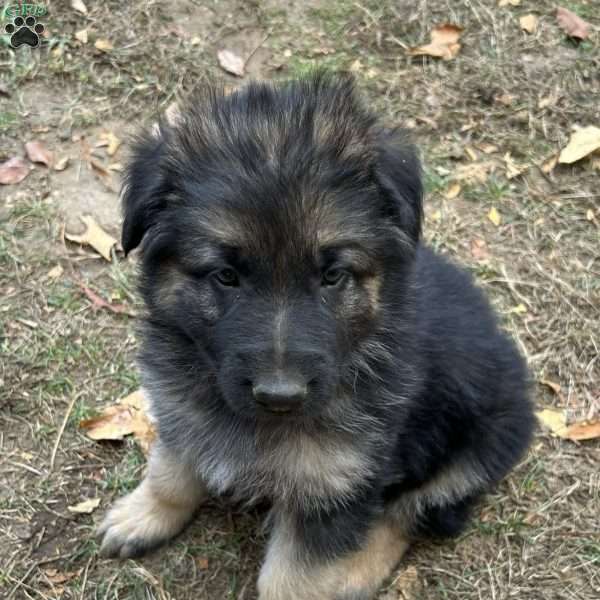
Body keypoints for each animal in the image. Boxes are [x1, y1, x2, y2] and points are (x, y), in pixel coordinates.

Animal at [98, 74, 536, 600]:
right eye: (226, 275)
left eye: (332, 276)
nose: (280, 396)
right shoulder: (183, 411)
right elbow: (170, 470)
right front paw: (144, 514)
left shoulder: (336, 483)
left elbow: (294, 579)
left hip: (478, 450)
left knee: (408, 515)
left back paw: (357, 570)